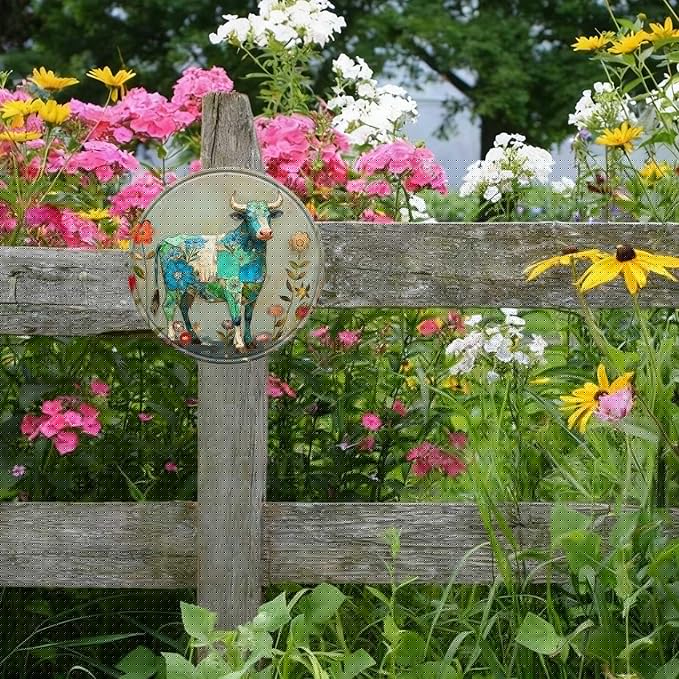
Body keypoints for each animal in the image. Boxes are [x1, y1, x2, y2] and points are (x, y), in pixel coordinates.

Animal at [151, 191, 283, 352]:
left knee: (183, 307)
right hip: (173, 286)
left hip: (189, 288)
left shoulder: (254, 290)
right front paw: (240, 345)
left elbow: (248, 317)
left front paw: (249, 342)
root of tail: (165, 241)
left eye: (268, 215)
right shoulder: (232, 289)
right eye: (248, 216)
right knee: (168, 306)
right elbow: (236, 317)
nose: (265, 233)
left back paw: (195, 338)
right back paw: (172, 337)